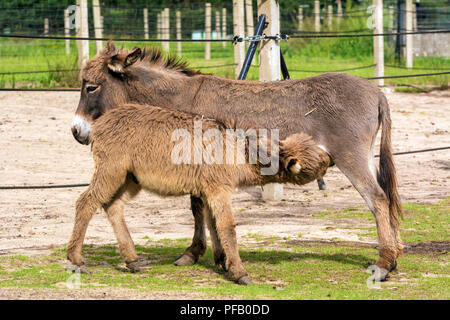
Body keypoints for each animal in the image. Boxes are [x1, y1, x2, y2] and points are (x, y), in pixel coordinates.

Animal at [67, 103, 330, 284]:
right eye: (315, 163)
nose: (330, 158)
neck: (237, 152)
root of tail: (100, 123)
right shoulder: (218, 190)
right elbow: (227, 227)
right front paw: (239, 272)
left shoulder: (208, 191)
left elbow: (212, 224)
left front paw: (222, 261)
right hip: (111, 170)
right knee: (85, 202)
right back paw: (76, 259)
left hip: (130, 178)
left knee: (113, 207)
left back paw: (132, 260)